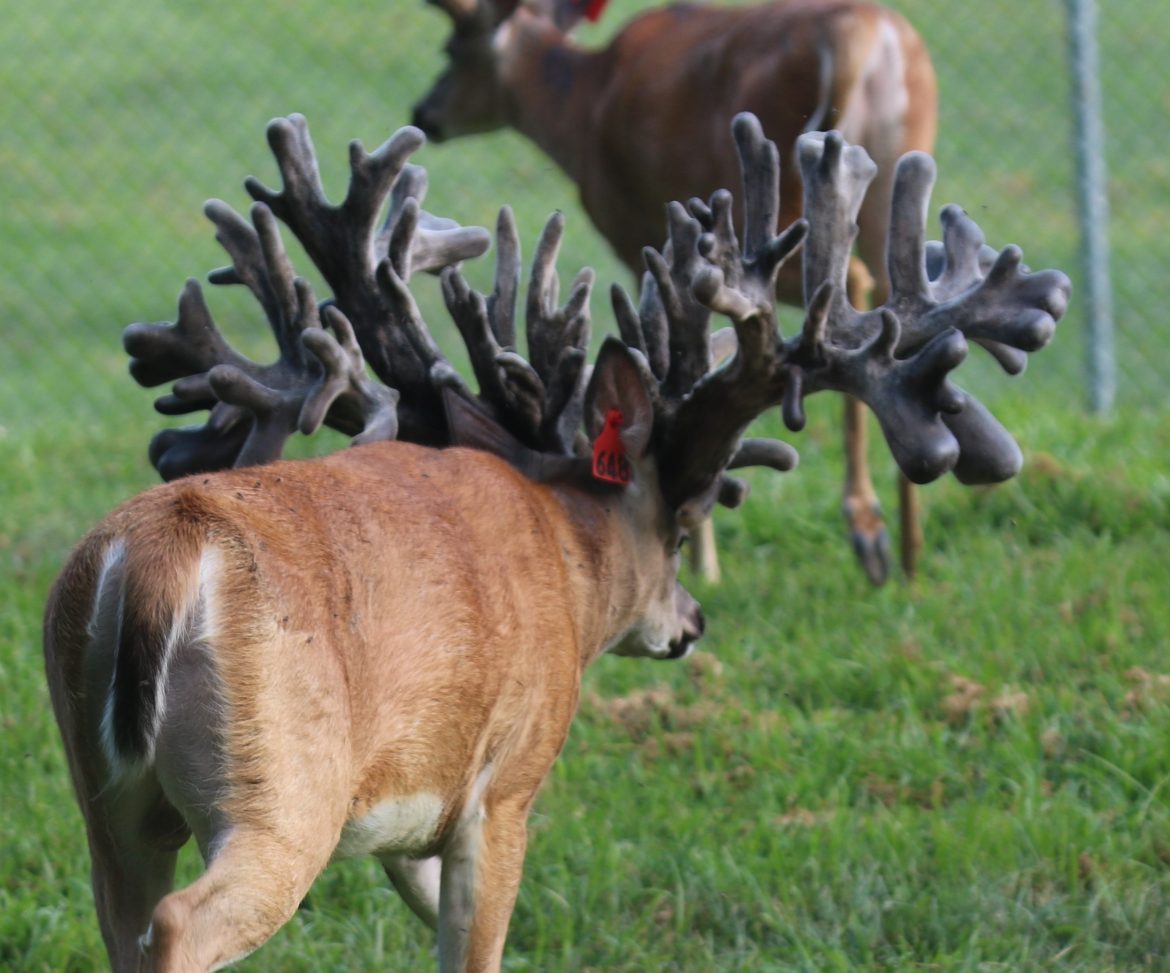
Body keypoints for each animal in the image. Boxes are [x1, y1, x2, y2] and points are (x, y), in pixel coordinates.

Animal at [43, 108, 1071, 973]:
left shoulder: (414, 807)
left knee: (125, 920)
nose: (692, 620)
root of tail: (153, 562)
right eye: (684, 521)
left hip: (109, 801)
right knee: (182, 924)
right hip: (280, 789)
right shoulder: (505, 781)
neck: (566, 557)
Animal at [411, 0, 940, 584]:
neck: (579, 107)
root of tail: (862, 34)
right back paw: (907, 547)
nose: (424, 112)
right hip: (901, 162)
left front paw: (699, 556)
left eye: (452, 50)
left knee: (851, 287)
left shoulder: (640, 232)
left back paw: (868, 529)